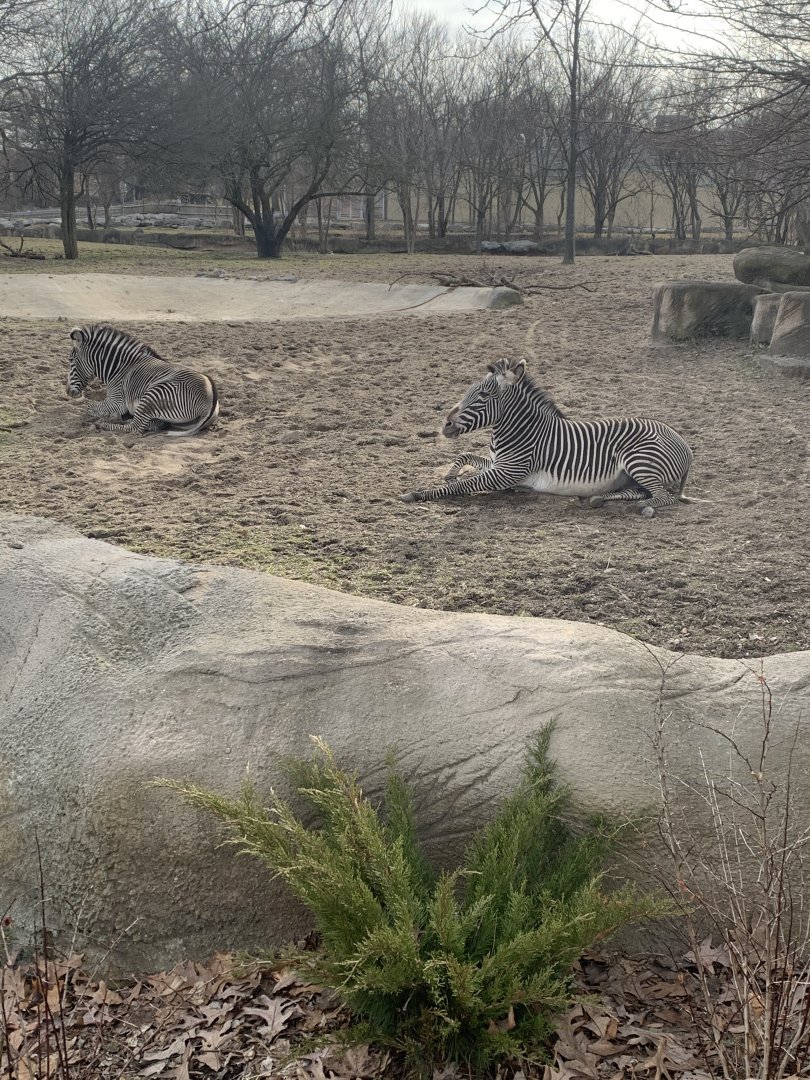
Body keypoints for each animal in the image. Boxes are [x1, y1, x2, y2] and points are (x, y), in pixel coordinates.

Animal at [66, 324, 219, 437]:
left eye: (71, 361)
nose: (67, 391)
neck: (120, 368)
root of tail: (211, 398)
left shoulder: (117, 402)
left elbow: (88, 406)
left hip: (154, 394)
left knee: (135, 427)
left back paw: (101, 424)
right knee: (149, 424)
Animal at [400, 358, 693, 518]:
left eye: (483, 395)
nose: (446, 425)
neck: (521, 431)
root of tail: (683, 442)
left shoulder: (507, 472)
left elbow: (463, 486)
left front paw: (418, 494)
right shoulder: (498, 465)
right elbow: (464, 456)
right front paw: (450, 473)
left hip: (639, 460)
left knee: (662, 496)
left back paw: (644, 506)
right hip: (633, 474)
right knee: (637, 490)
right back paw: (599, 499)